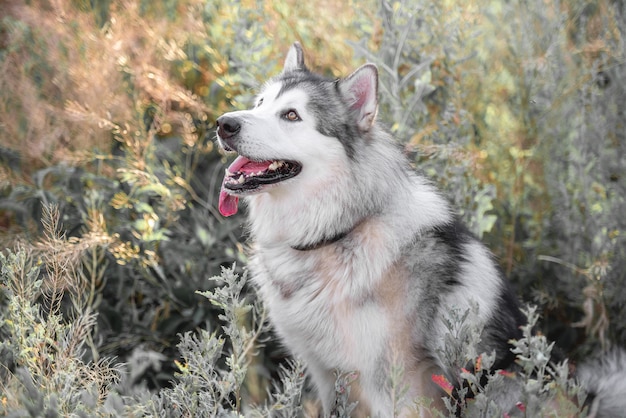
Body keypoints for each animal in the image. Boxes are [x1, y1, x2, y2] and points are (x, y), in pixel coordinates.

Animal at [216, 41, 624, 414]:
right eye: (259, 103)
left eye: (291, 115)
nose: (224, 124)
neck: (340, 232)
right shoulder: (327, 376)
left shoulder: (398, 386)